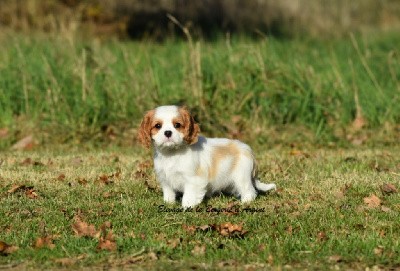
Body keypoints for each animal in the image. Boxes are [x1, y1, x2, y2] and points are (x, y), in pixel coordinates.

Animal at [138, 106, 276, 208]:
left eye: (177, 125)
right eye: (158, 126)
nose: (167, 133)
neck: (171, 153)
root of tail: (249, 151)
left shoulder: (193, 179)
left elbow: (189, 195)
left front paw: (187, 206)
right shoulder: (165, 179)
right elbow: (169, 193)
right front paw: (168, 204)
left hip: (242, 177)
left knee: (250, 191)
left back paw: (245, 202)